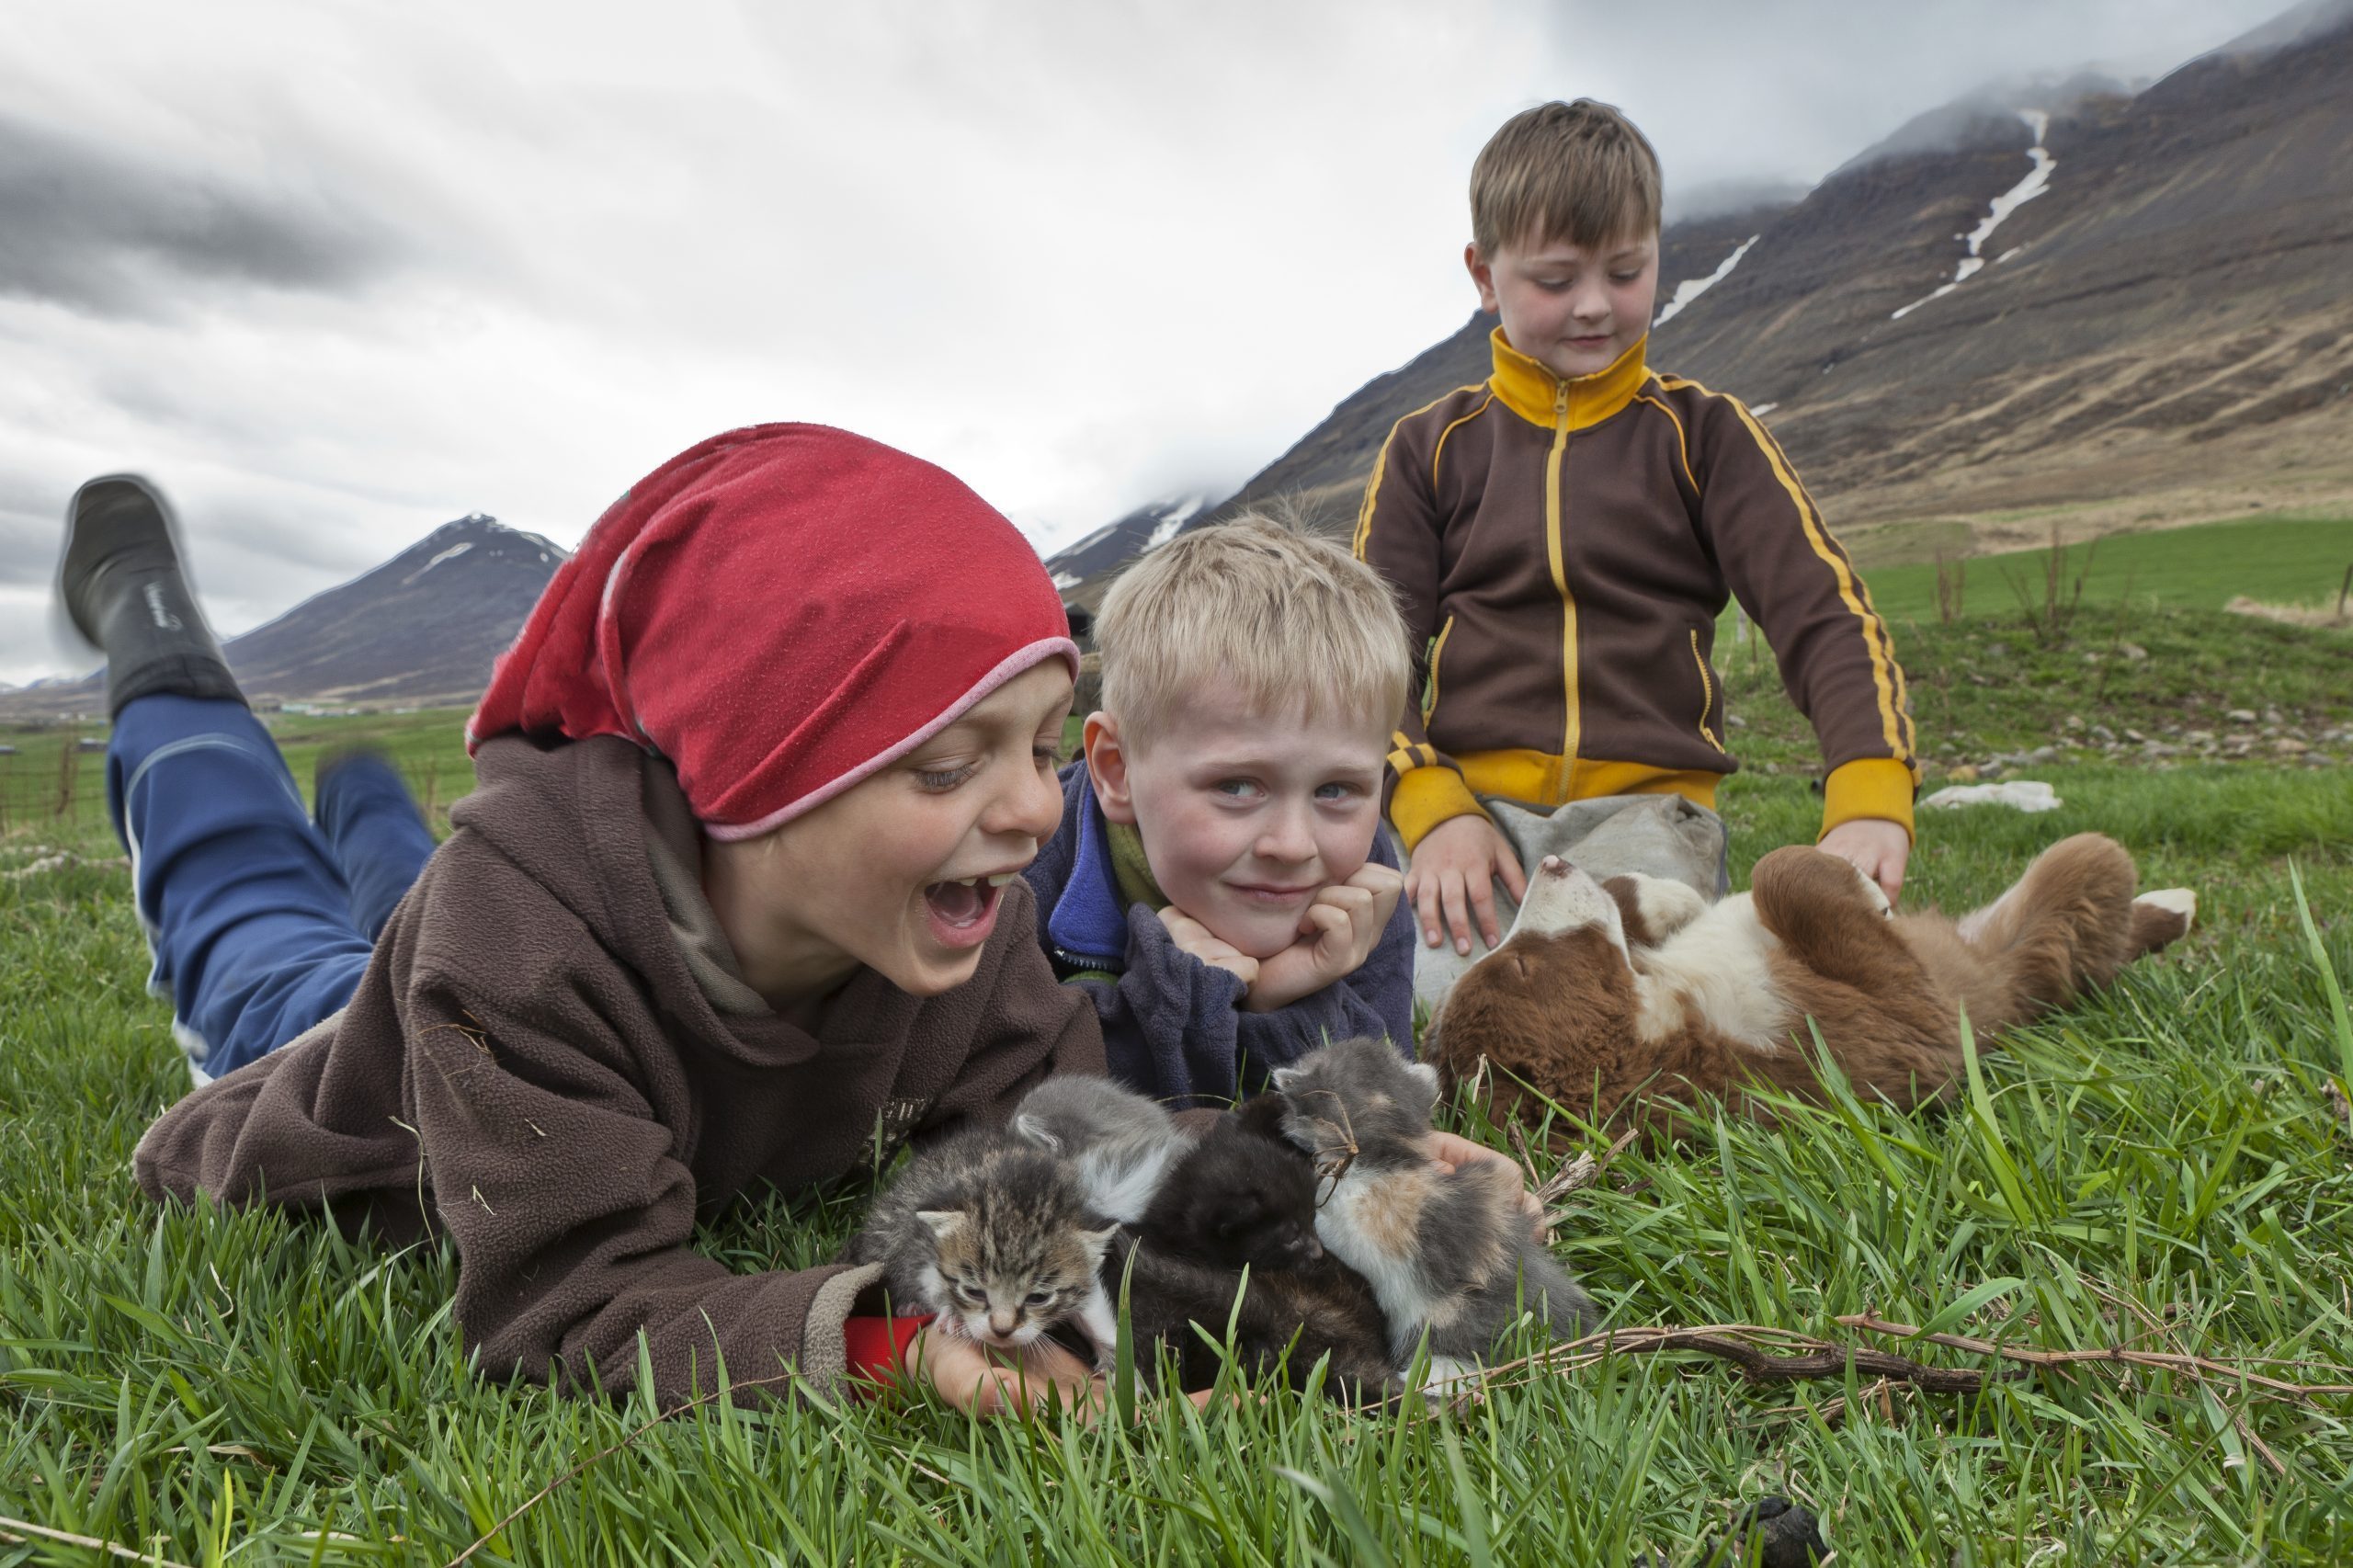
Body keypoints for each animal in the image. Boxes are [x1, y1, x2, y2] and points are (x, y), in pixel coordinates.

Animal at [847, 1125, 1120, 1356]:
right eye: (974, 1291)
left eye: (1038, 1298)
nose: (1002, 1330)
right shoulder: (921, 1243)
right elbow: (931, 1277)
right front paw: (954, 1313)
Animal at [1421, 828, 2192, 1134]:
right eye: (1517, 966)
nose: (1550, 862)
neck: (1664, 1011)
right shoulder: (1891, 1033)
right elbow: (1784, 872)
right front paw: (1863, 885)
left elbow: (1637, 898)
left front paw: (1673, 897)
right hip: (2057, 909)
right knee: (2092, 911)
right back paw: (2176, 907)